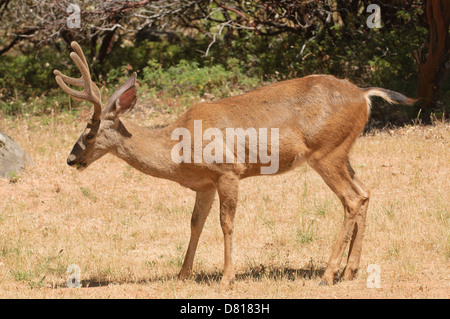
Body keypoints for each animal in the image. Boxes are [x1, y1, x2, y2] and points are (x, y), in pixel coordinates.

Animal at [54, 41, 416, 288]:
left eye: (89, 130)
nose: (71, 159)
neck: (177, 146)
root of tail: (363, 94)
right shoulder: (204, 183)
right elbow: (195, 223)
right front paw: (183, 274)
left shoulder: (228, 171)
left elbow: (225, 223)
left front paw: (227, 277)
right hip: (343, 152)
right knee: (365, 193)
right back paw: (350, 271)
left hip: (326, 152)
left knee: (352, 199)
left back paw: (328, 274)